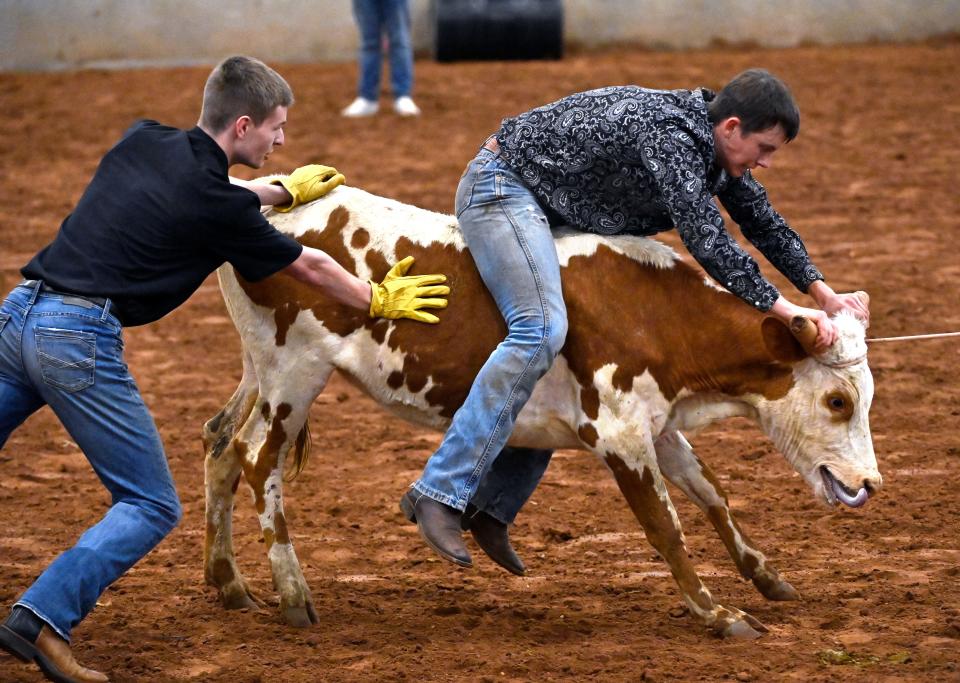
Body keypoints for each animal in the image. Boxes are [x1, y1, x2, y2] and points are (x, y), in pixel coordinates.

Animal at [202, 184, 876, 640]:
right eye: (837, 400)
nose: (869, 484)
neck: (652, 312)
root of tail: (269, 207)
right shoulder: (619, 434)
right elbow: (665, 525)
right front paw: (718, 613)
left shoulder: (655, 428)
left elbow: (712, 494)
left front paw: (766, 577)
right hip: (295, 372)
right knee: (258, 458)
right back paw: (293, 595)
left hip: (256, 369)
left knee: (220, 446)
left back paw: (229, 583)